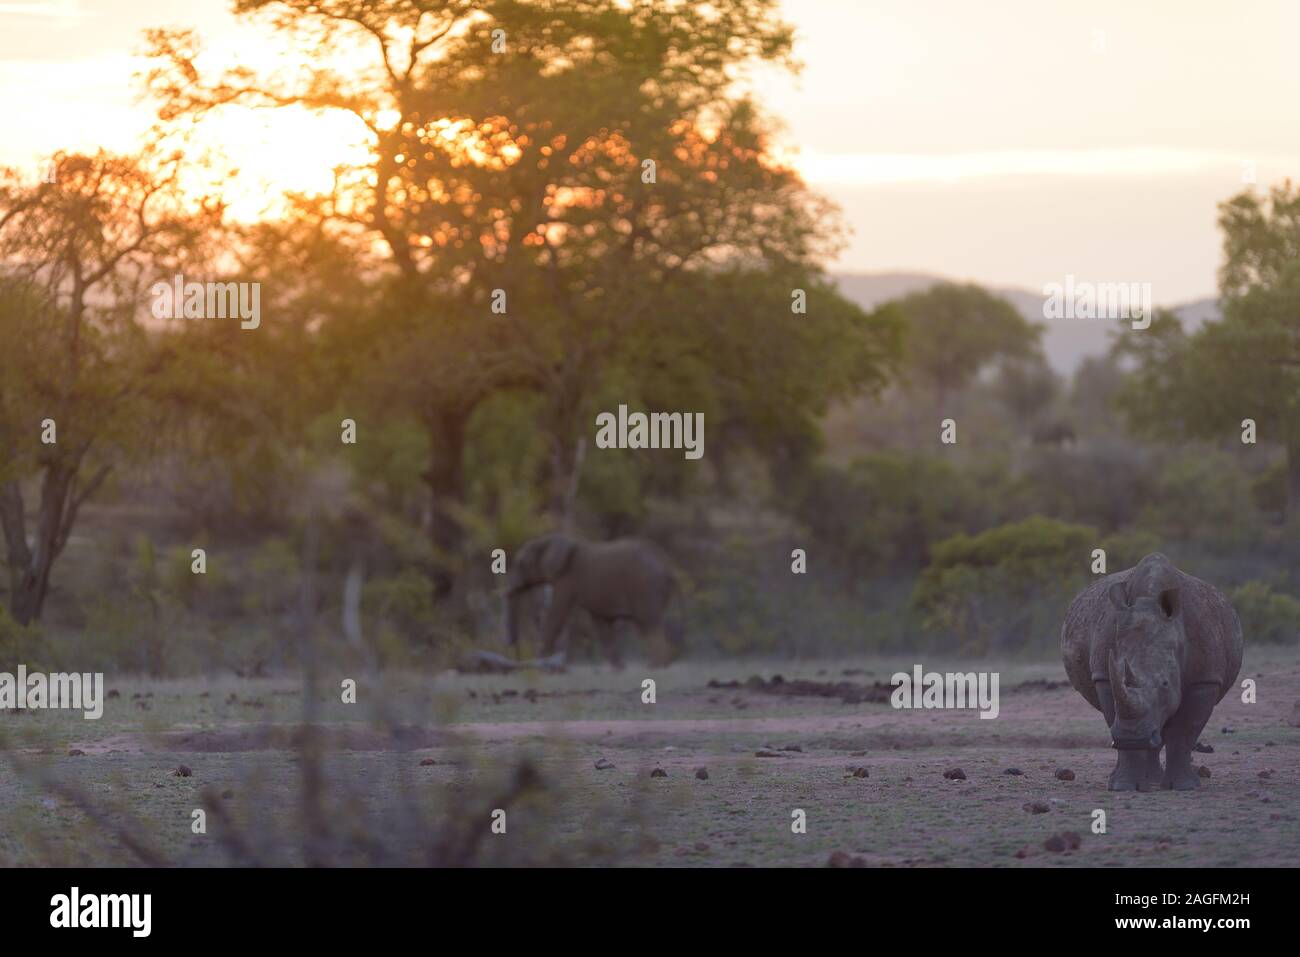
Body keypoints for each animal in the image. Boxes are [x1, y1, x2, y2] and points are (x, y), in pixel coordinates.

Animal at [504, 530, 686, 665]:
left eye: (521, 563)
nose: (515, 650)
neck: (546, 540)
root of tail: (668, 565)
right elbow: (601, 625)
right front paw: (617, 669)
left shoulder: (566, 579)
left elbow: (556, 615)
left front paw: (540, 661)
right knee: (647, 627)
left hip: (645, 587)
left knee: (651, 626)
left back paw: (658, 667)